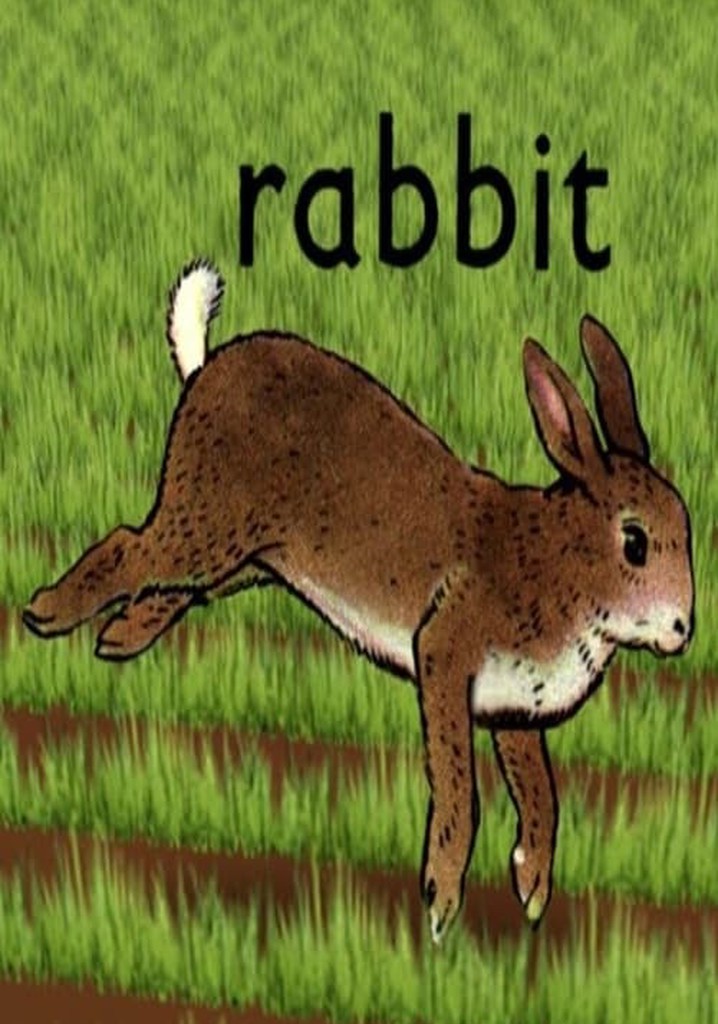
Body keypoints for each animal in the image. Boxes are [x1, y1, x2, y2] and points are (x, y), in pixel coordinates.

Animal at [23, 259, 695, 944]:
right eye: (635, 543)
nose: (681, 629)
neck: (560, 563)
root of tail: (207, 368)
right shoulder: (444, 656)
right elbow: (460, 790)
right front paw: (439, 907)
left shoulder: (515, 708)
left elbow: (541, 795)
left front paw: (531, 891)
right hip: (206, 525)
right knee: (127, 545)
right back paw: (45, 613)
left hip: (243, 556)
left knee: (174, 583)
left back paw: (117, 637)